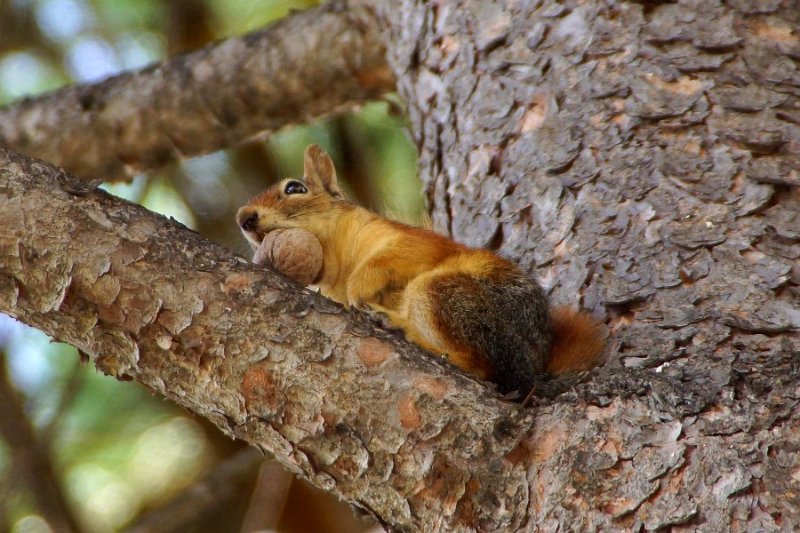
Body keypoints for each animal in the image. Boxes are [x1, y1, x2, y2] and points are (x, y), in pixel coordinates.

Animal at [236, 145, 605, 398]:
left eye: (295, 188)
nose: (243, 218)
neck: (335, 263)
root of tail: (534, 364)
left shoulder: (411, 240)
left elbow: (389, 259)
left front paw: (358, 289)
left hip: (441, 292)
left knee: (489, 370)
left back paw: (402, 327)